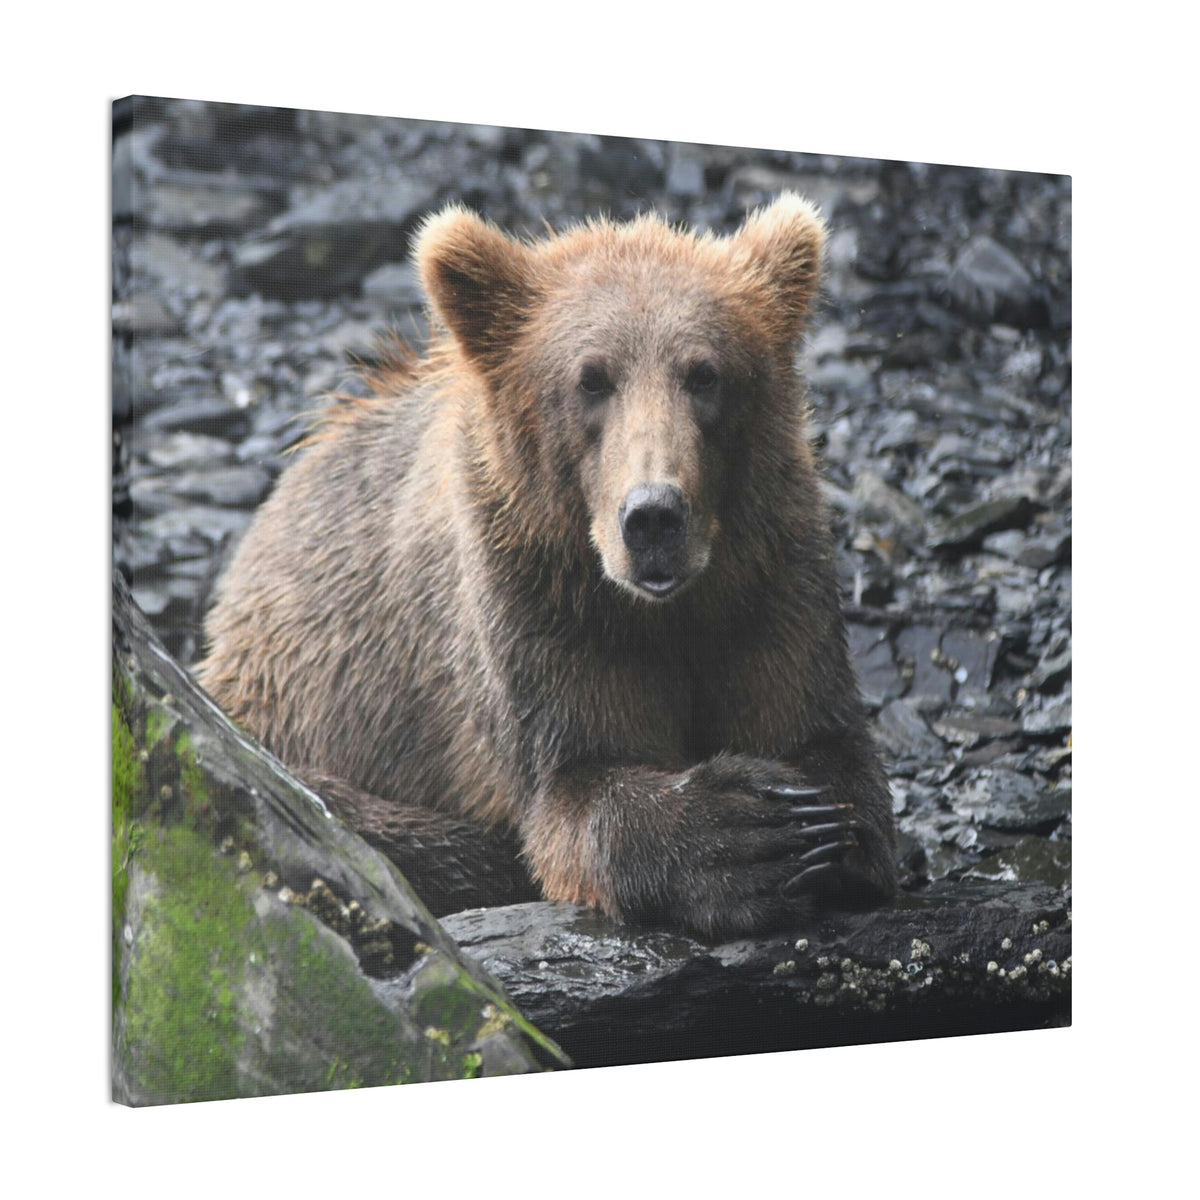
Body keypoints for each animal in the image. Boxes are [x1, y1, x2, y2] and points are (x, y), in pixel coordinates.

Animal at [197, 192, 898, 940]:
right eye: (591, 379)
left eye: (705, 373)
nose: (653, 517)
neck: (662, 609)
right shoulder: (534, 601)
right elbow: (576, 783)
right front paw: (746, 834)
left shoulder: (769, 577)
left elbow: (819, 734)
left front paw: (819, 827)